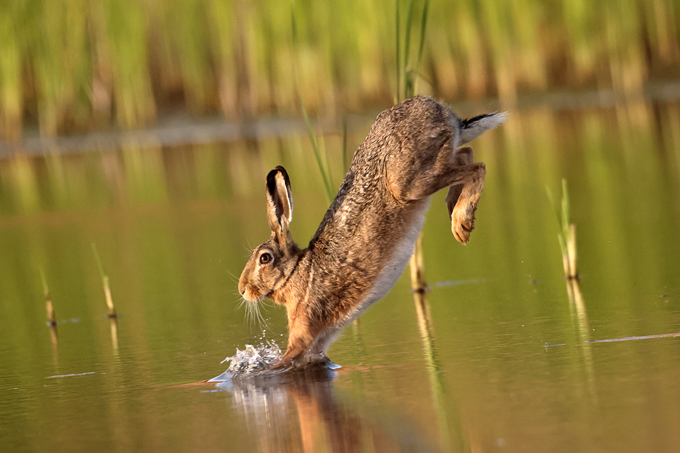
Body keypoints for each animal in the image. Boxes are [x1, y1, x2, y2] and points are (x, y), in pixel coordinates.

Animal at [238, 95, 505, 369]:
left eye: (264, 258)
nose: (242, 290)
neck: (296, 273)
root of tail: (442, 111)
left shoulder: (305, 329)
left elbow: (287, 356)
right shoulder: (318, 344)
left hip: (409, 182)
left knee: (477, 167)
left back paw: (461, 222)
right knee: (466, 154)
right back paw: (454, 208)